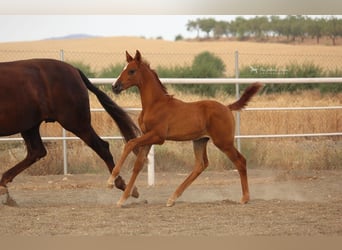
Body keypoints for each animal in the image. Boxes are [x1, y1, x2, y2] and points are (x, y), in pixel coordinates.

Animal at [0, 58, 140, 199]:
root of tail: (74, 70)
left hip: (75, 122)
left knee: (102, 147)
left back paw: (123, 185)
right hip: (30, 125)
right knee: (36, 151)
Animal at [108, 49, 264, 206]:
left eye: (132, 71)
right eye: (123, 69)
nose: (115, 86)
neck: (155, 104)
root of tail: (227, 107)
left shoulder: (157, 136)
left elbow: (130, 144)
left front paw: (110, 182)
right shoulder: (148, 136)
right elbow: (138, 165)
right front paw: (122, 199)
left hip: (223, 142)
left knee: (240, 161)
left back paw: (245, 198)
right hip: (200, 141)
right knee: (200, 165)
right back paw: (172, 198)